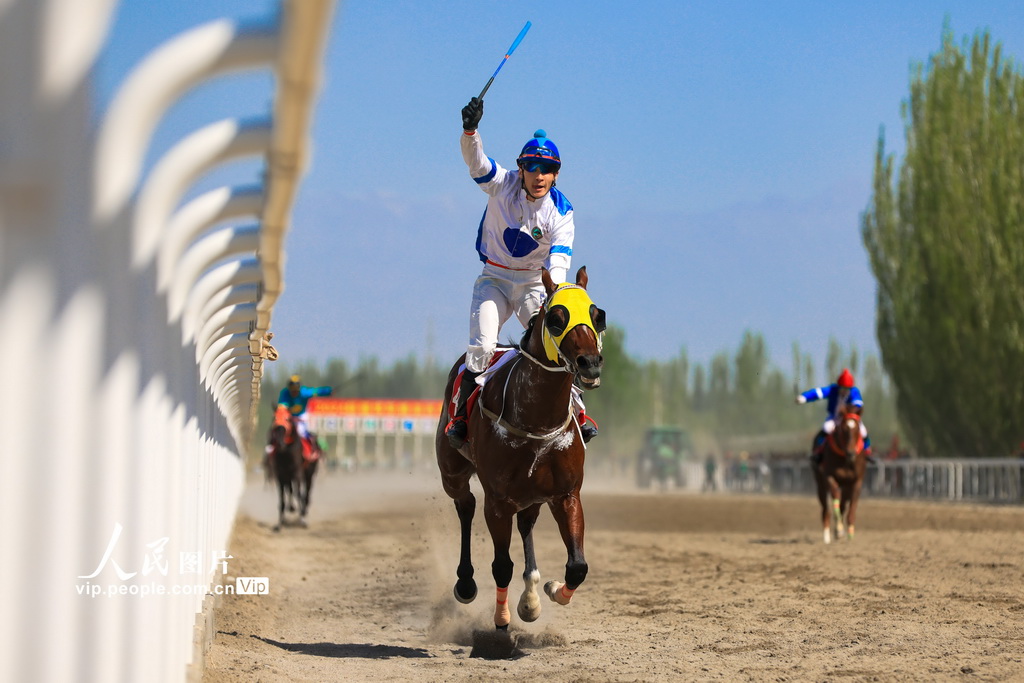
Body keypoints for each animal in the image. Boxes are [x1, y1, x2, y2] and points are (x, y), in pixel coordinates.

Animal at [436, 266, 602, 630]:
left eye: (597, 316)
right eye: (556, 318)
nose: (590, 363)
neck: (537, 421)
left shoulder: (565, 494)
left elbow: (578, 567)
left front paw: (551, 591)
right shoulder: (498, 501)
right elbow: (501, 565)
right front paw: (502, 618)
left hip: (532, 495)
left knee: (526, 524)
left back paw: (531, 596)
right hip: (452, 473)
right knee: (466, 505)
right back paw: (466, 582)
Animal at [811, 405, 868, 544]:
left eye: (857, 429)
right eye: (843, 429)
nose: (851, 453)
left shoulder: (856, 481)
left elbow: (851, 506)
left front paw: (849, 534)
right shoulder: (829, 477)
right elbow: (835, 498)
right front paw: (839, 529)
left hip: (846, 485)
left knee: (842, 504)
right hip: (820, 484)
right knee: (826, 509)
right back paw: (827, 536)